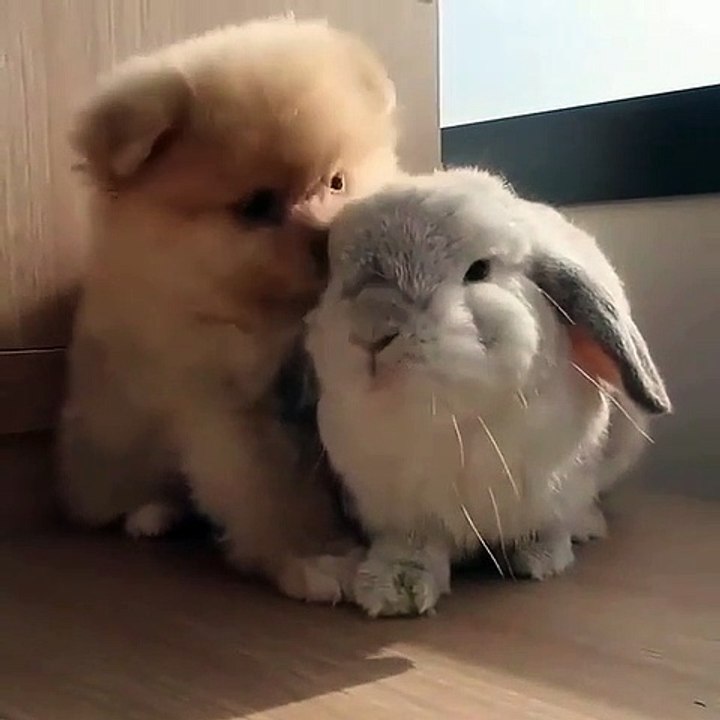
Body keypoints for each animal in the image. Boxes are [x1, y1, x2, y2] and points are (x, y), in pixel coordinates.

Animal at [57, 17, 399, 603]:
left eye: (336, 181)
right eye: (256, 207)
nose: (329, 237)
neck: (279, 316)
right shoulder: (226, 404)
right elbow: (271, 488)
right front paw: (316, 556)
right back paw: (150, 512)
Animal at [305, 168, 671, 617]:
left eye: (479, 271)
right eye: (336, 273)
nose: (373, 328)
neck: (446, 423)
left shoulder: (555, 484)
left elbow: (548, 523)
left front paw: (541, 558)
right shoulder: (398, 510)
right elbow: (411, 545)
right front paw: (394, 590)